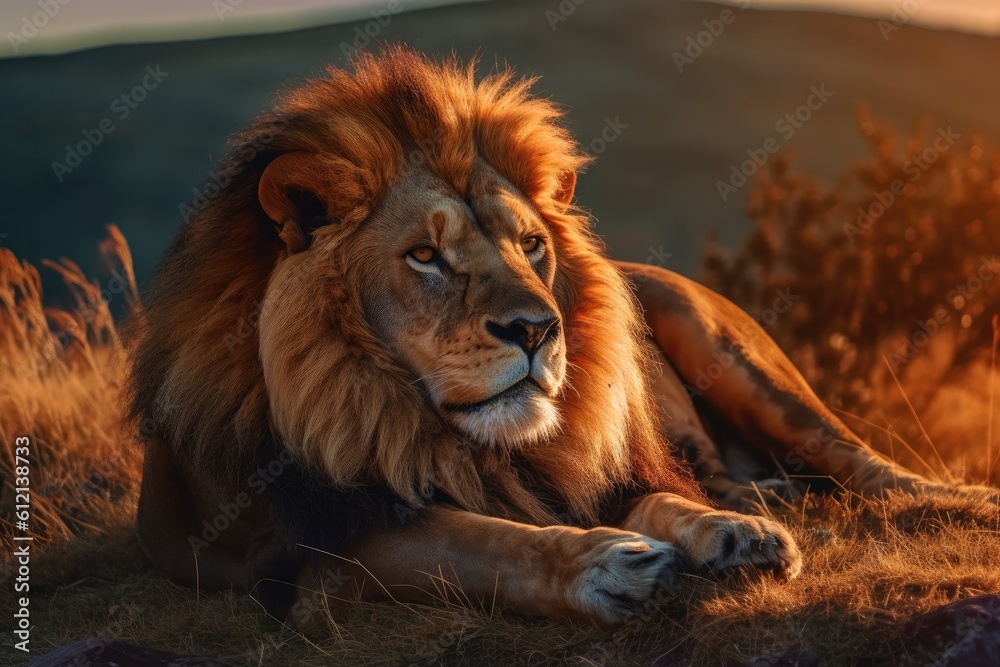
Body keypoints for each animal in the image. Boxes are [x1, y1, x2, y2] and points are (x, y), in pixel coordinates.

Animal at [129, 46, 996, 628]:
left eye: (531, 245)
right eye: (425, 256)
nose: (538, 328)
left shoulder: (594, 474)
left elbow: (658, 496)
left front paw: (731, 535)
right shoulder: (311, 549)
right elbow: (481, 541)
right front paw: (610, 564)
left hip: (733, 355)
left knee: (866, 466)